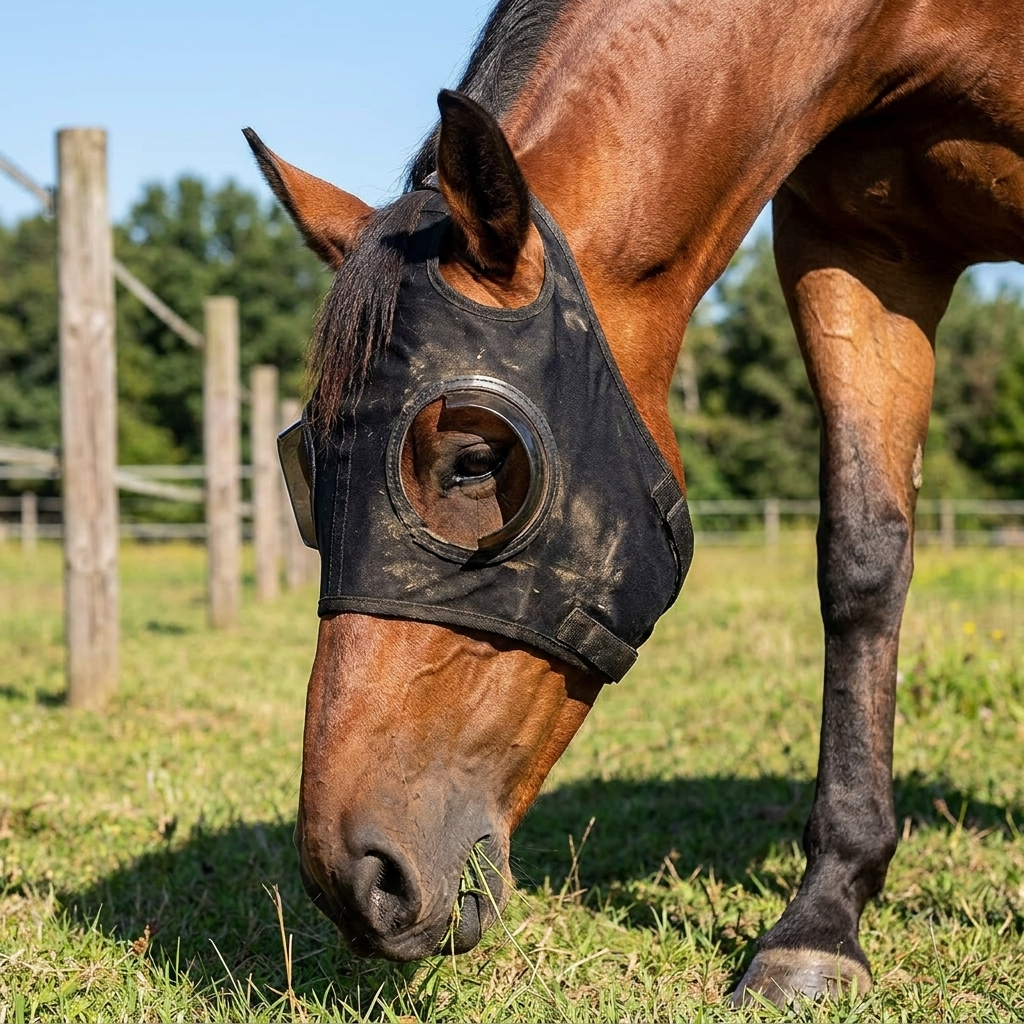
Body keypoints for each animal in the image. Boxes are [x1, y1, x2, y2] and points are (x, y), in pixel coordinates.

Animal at [244, 0, 1024, 1005]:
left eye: (474, 459)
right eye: (306, 467)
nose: (356, 878)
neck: (896, 34)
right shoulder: (861, 248)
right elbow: (862, 558)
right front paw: (822, 922)